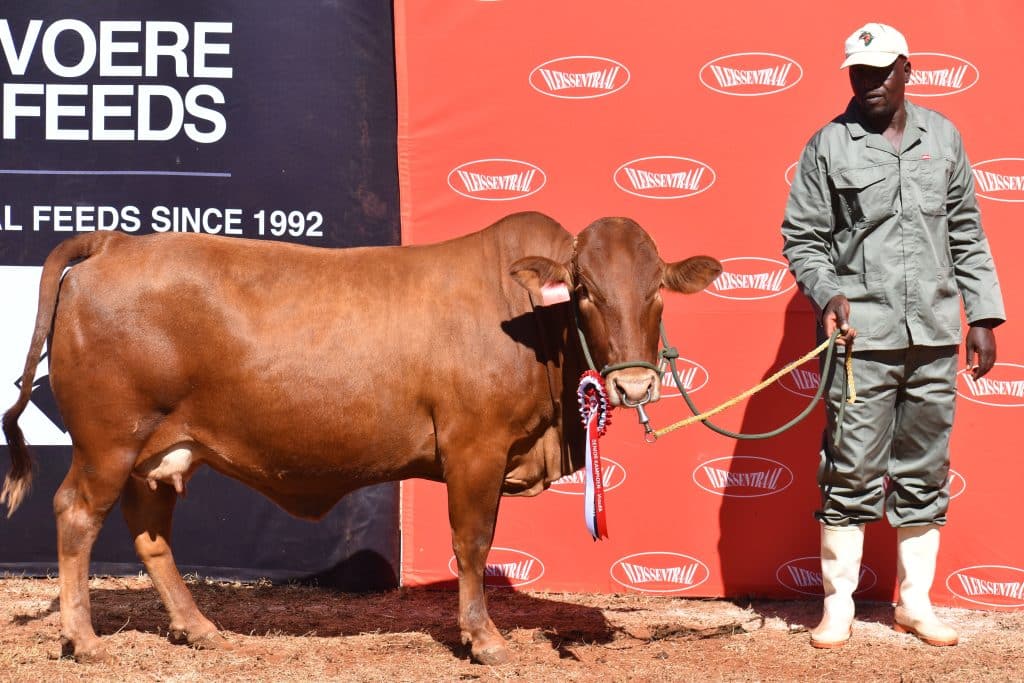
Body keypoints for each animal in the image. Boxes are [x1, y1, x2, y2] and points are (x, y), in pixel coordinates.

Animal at [2, 210, 720, 663]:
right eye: (585, 290)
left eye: (657, 289)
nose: (634, 386)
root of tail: (117, 243)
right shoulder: (475, 446)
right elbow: (472, 542)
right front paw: (484, 639)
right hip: (109, 439)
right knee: (76, 516)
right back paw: (85, 640)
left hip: (158, 451)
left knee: (151, 534)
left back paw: (200, 628)